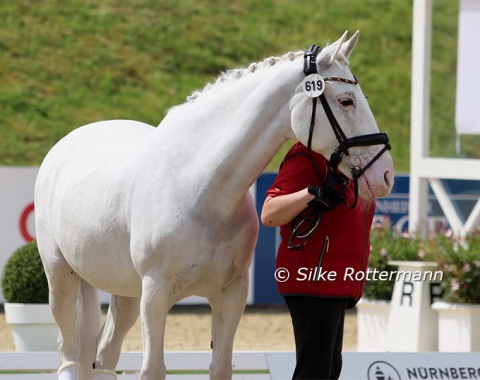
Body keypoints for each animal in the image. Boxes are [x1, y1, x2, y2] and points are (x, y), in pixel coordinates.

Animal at [34, 31, 394, 378]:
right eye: (346, 100)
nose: (386, 175)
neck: (199, 191)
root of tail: (68, 143)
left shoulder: (230, 295)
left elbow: (220, 368)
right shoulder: (155, 295)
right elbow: (153, 370)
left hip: (125, 291)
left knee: (105, 357)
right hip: (61, 278)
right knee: (69, 356)